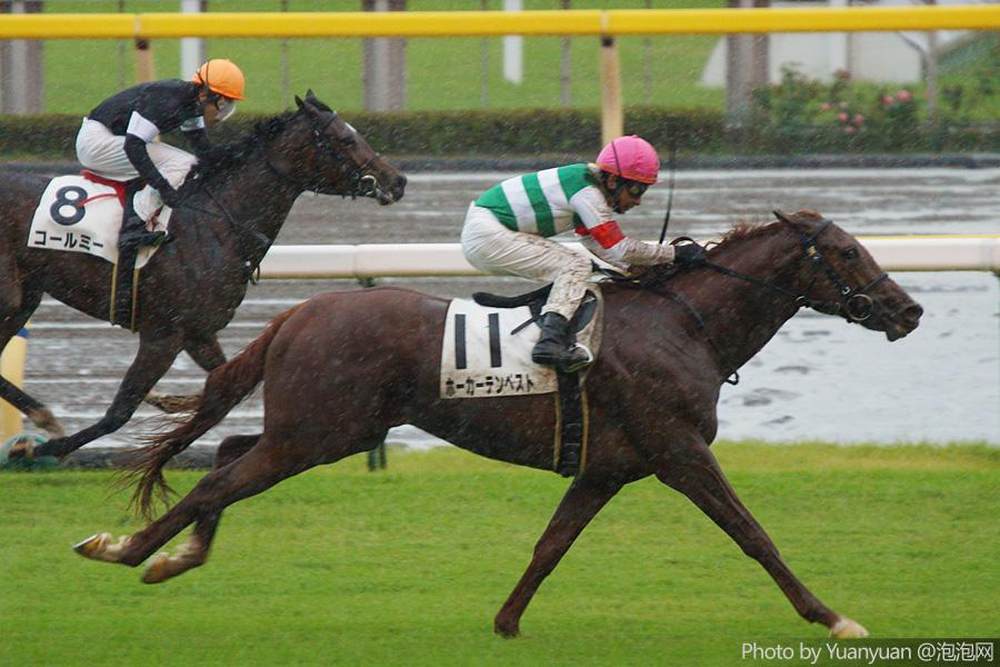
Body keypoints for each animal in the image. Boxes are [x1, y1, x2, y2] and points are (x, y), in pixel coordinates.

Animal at [0, 91, 406, 461]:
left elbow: (228, 385)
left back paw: (43, 416)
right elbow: (119, 412)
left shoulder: (199, 333)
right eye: (346, 139)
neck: (215, 223)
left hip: (23, 299)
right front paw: (45, 448)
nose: (397, 180)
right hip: (12, 297)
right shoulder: (164, 334)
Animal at [74, 210, 923, 638]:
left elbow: (551, 544)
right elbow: (753, 532)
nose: (909, 309)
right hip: (317, 434)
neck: (687, 324)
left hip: (320, 429)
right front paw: (832, 615)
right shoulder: (677, 449)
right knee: (215, 479)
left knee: (227, 450)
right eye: (848, 252)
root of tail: (301, 311)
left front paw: (507, 620)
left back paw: (174, 555)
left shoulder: (606, 467)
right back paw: (129, 548)